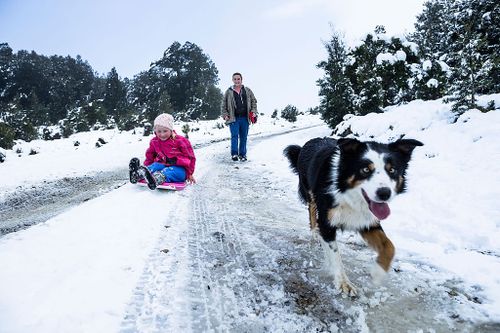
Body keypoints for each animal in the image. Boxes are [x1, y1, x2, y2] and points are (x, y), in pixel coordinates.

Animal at [286, 136, 422, 294]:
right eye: (365, 170)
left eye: (392, 170)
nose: (384, 193)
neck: (346, 193)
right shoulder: (327, 221)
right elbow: (335, 254)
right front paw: (344, 283)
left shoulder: (367, 221)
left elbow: (389, 246)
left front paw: (378, 273)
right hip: (310, 192)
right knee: (312, 211)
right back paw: (315, 233)